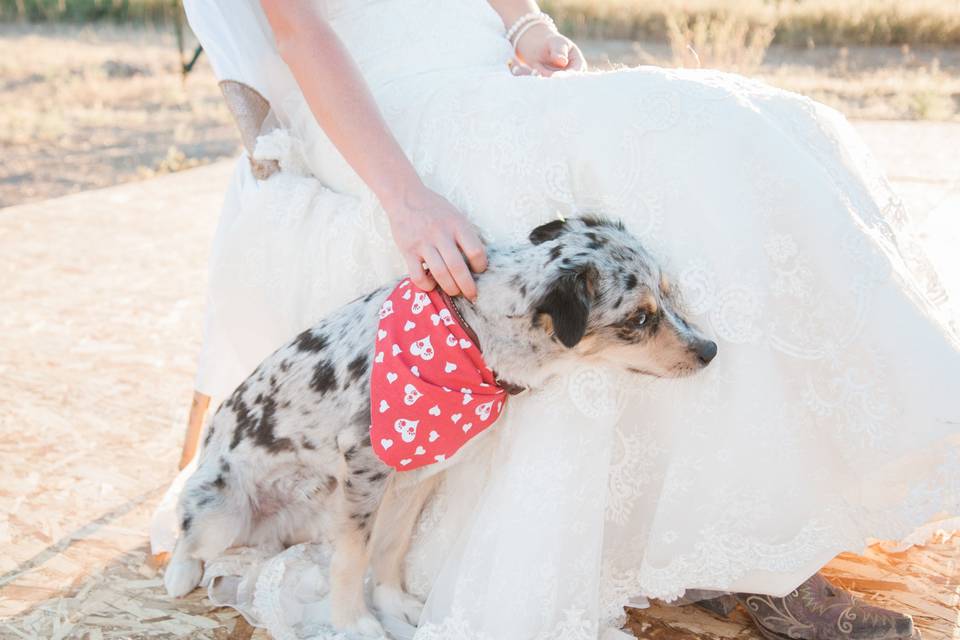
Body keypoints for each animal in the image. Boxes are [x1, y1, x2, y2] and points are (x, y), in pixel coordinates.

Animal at [165, 216, 716, 636]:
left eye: (668, 296)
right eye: (639, 318)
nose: (710, 350)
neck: (472, 335)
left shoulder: (418, 473)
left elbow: (391, 546)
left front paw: (394, 603)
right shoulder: (367, 463)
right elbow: (353, 556)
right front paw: (355, 623)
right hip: (220, 513)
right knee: (187, 535)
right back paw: (179, 571)